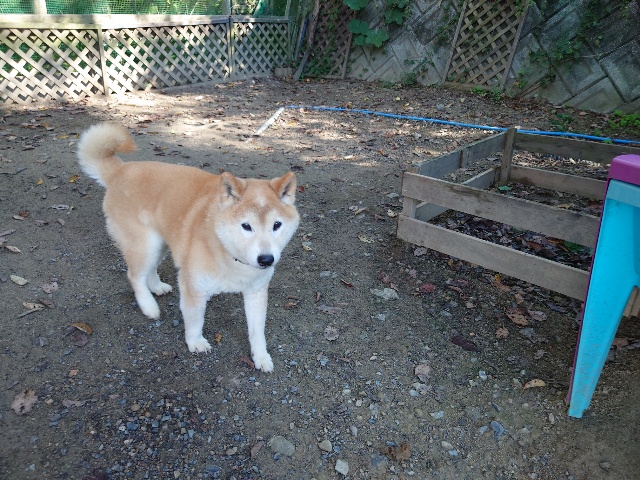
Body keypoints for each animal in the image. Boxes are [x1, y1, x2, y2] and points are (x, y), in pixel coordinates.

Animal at [77, 123, 299, 372]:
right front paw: (195, 342)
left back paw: (157, 287)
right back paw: (149, 306)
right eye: (246, 226)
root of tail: (120, 171)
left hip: (161, 245)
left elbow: (257, 331)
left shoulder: (256, 292)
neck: (231, 257)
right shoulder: (193, 288)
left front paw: (261, 357)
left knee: (148, 271)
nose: (266, 259)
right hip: (146, 245)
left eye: (277, 225)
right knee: (134, 276)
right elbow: (195, 321)